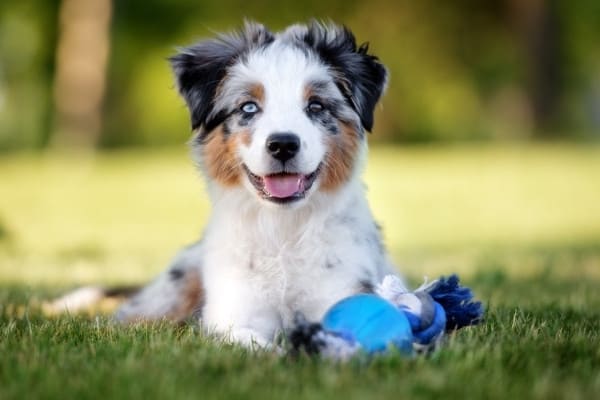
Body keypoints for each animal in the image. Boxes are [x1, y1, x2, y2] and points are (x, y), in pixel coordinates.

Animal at [115, 21, 406, 346]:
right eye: (249, 107)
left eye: (316, 106)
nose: (283, 145)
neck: (282, 231)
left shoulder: (340, 290)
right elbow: (254, 345)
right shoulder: (232, 316)